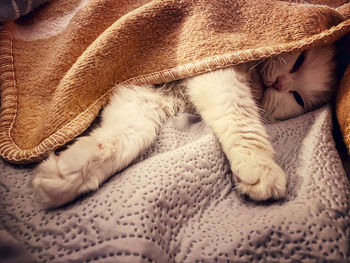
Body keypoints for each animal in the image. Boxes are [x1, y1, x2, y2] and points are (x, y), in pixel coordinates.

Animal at [32, 46, 336, 210]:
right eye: (299, 60)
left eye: (297, 98)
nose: (280, 84)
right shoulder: (214, 67)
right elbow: (241, 119)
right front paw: (260, 167)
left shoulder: (143, 99)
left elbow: (124, 138)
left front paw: (69, 173)